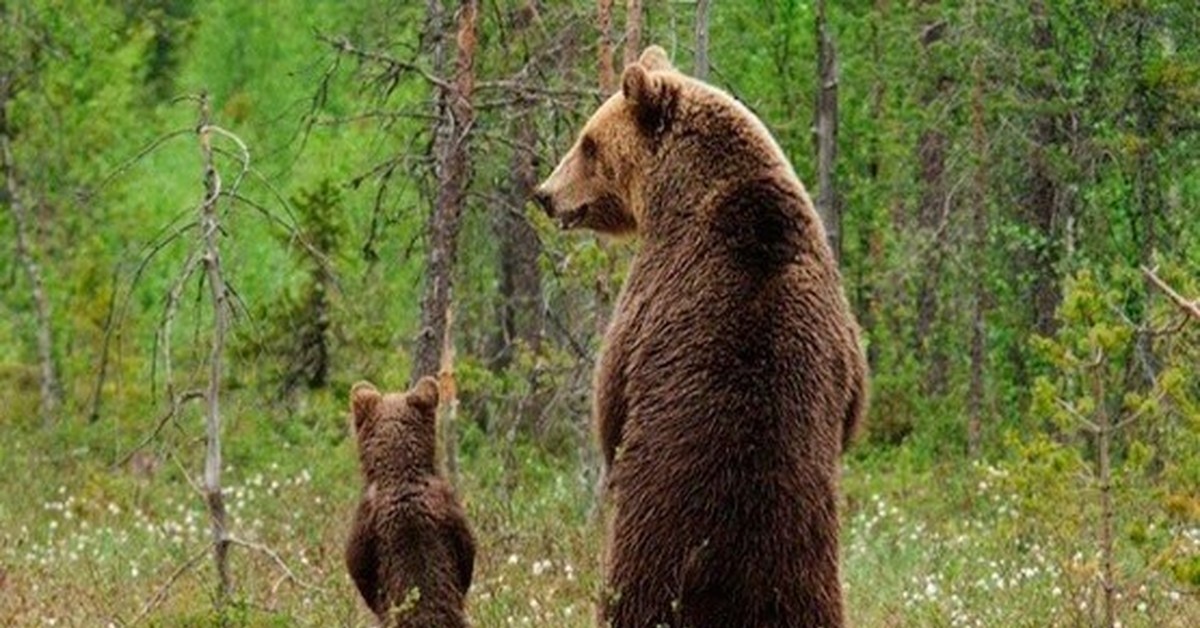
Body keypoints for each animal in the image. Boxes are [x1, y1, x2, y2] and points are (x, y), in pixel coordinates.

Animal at [535, 46, 864, 624]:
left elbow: (610, 395)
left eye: (587, 142)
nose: (545, 194)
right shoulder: (838, 325)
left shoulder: (651, 292)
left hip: (653, 550)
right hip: (807, 573)